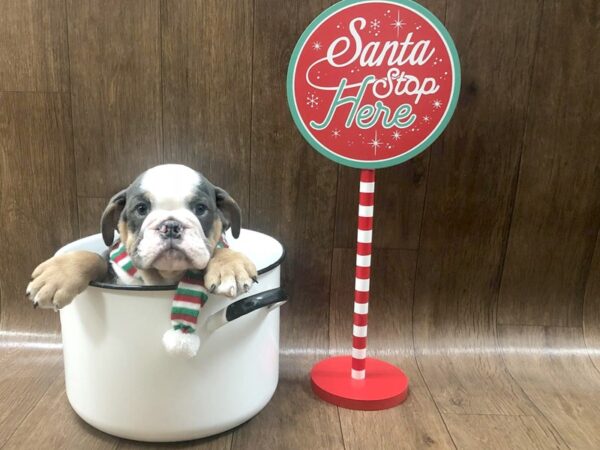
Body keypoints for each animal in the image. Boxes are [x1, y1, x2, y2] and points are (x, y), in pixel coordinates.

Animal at [27, 164, 256, 310]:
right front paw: (58, 275)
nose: (170, 226)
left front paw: (230, 266)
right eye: (141, 209)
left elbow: (220, 249)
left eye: (200, 209)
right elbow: (95, 258)